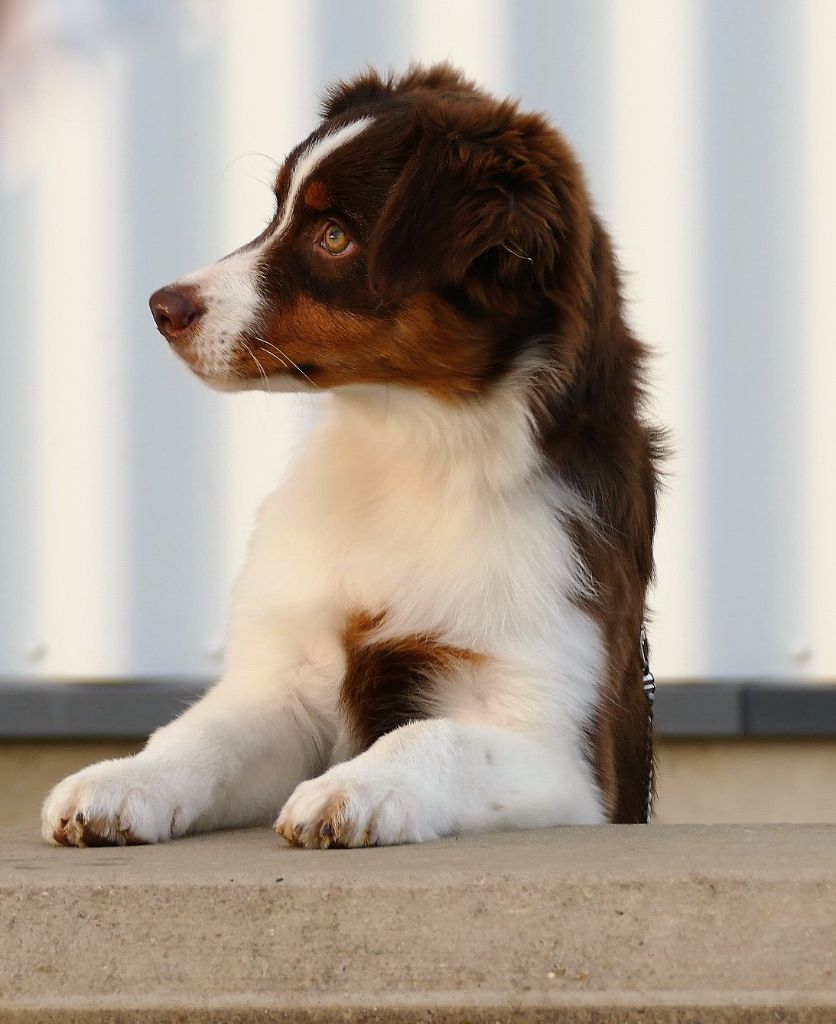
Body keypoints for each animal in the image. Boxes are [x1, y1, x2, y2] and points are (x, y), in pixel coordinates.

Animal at [42, 61, 663, 847]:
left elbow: (432, 735)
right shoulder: (290, 673)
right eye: (276, 213)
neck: (408, 446)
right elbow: (201, 733)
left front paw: (352, 790)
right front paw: (119, 782)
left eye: (335, 236)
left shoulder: (562, 744)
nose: (161, 307)